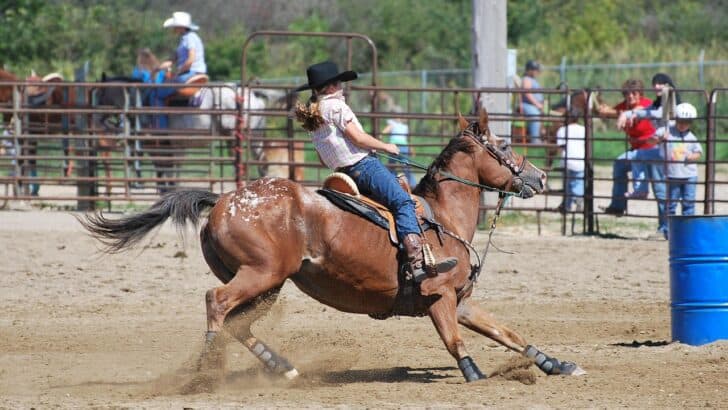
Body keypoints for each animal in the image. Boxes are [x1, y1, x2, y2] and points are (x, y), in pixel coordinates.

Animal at [79, 108, 585, 388]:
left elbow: (509, 333)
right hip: (259, 275)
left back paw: (281, 367)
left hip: (268, 284)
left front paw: (557, 364)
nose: (540, 177)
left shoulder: (460, 300)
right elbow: (454, 339)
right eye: (505, 144)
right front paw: (474, 373)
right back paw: (206, 370)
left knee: (237, 323)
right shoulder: (438, 296)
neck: (442, 217)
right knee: (216, 305)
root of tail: (222, 199)